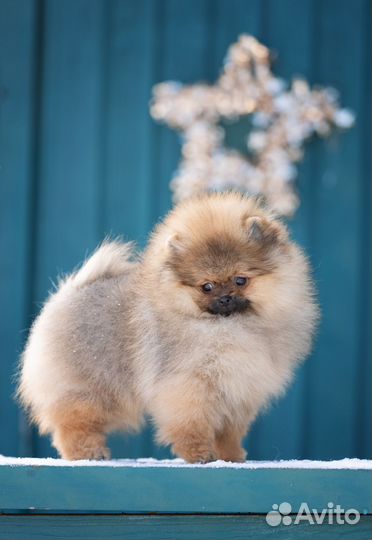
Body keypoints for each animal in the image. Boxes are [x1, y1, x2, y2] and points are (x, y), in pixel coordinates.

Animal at [18, 192, 318, 462]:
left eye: (240, 280)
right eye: (206, 286)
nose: (225, 298)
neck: (228, 327)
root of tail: (67, 293)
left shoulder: (239, 392)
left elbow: (229, 432)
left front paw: (232, 457)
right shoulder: (188, 385)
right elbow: (192, 423)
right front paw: (200, 455)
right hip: (88, 389)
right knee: (72, 422)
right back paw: (87, 453)